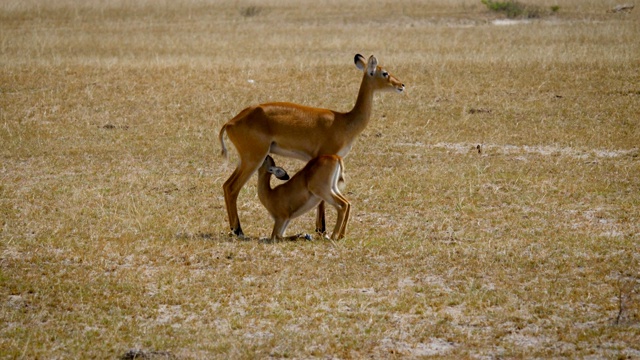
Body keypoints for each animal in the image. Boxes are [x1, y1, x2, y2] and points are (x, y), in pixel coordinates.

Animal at [218, 53, 402, 238]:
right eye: (384, 72)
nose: (401, 85)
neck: (344, 121)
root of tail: (231, 122)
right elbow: (321, 201)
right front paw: (322, 229)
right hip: (254, 159)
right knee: (233, 188)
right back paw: (238, 230)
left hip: (245, 160)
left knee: (226, 185)